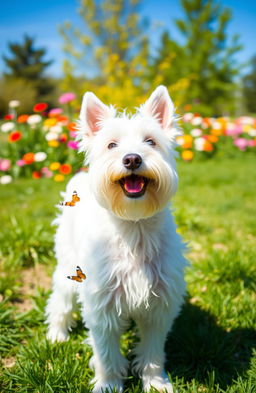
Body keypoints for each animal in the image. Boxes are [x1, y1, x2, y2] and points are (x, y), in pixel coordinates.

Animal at [45, 86, 187, 392]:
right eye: (111, 145)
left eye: (151, 141)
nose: (132, 158)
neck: (134, 228)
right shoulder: (102, 305)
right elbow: (106, 352)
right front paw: (108, 384)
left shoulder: (160, 306)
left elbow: (153, 351)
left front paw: (155, 383)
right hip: (67, 268)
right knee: (60, 301)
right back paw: (56, 335)